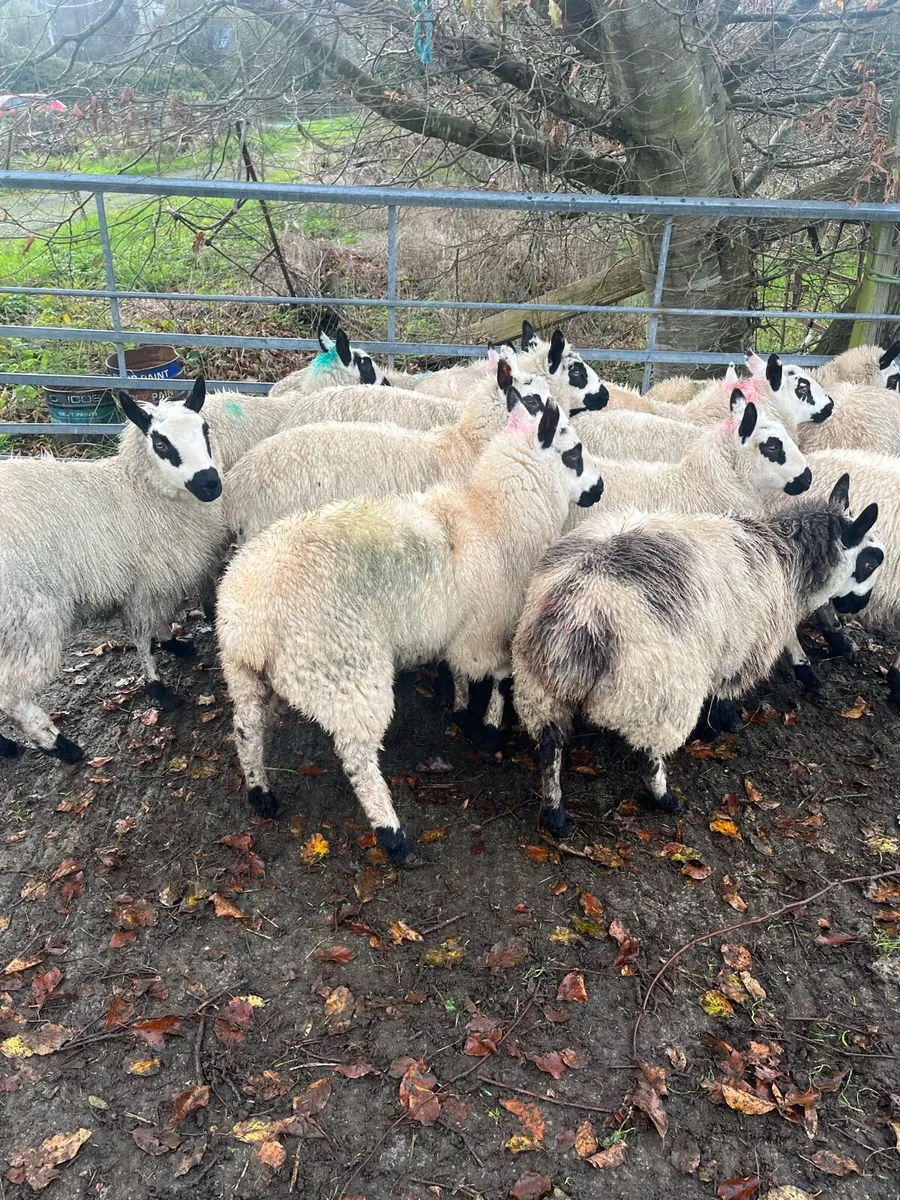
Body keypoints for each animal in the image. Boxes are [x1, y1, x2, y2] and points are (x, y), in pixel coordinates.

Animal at [0, 378, 227, 761]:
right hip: (28, 618)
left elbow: (158, 619)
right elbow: (141, 634)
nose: (210, 484)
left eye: (205, 429)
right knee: (12, 696)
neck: (138, 491)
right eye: (160, 443)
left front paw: (174, 643)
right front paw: (158, 687)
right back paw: (59, 745)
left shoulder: (153, 579)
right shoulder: (142, 581)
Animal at [216, 394, 604, 863]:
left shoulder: (459, 628)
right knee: (357, 757)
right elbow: (499, 677)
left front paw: (461, 711)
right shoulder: (485, 629)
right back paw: (393, 836)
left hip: (247, 674)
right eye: (574, 452)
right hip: (345, 670)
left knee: (247, 729)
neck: (495, 514)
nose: (599, 488)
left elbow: (461, 672)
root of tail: (250, 619)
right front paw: (488, 730)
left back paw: (261, 794)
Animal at [512, 483, 880, 833]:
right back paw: (665, 799)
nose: (859, 606)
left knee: (550, 748)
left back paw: (556, 814)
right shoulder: (743, 651)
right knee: (649, 755)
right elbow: (723, 694)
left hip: (539, 689)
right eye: (870, 560)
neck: (786, 557)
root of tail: (579, 613)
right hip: (657, 695)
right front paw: (720, 726)